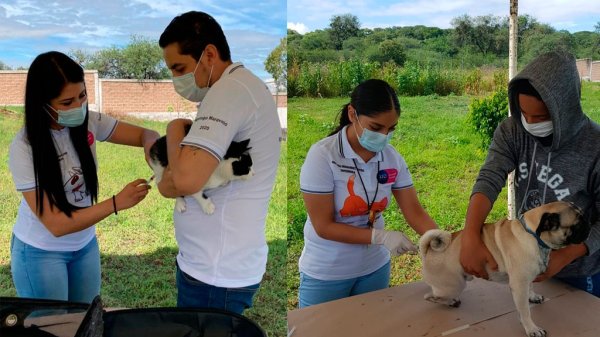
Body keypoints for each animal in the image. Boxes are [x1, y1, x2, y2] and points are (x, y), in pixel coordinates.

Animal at [420, 201, 592, 336]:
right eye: (578, 224)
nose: (590, 224)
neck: (533, 235)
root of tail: (428, 251)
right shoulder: (519, 285)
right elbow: (525, 311)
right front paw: (532, 329)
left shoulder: (527, 277)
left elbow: (531, 287)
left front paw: (533, 296)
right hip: (454, 285)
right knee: (430, 296)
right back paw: (449, 301)